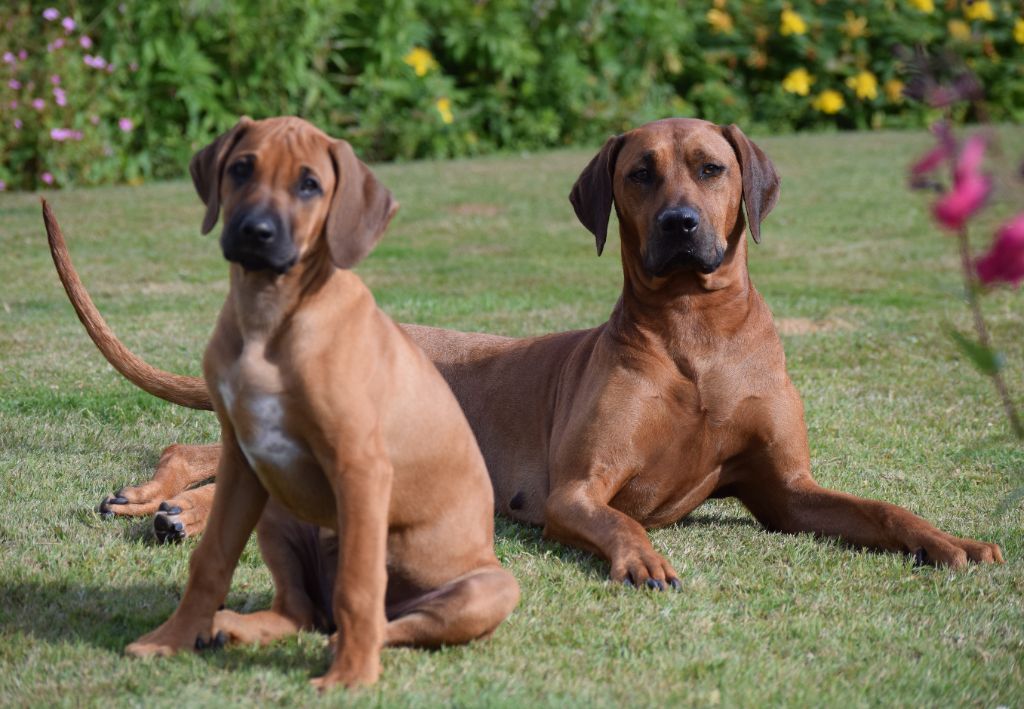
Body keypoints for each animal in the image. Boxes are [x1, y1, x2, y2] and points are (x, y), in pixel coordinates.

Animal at [43, 114, 516, 688]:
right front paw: (169, 639)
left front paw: (350, 677)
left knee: (376, 617)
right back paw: (221, 612)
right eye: (241, 169)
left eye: (310, 184)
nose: (256, 232)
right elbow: (212, 561)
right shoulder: (248, 451)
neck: (268, 320)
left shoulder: (361, 469)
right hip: (276, 500)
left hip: (486, 586)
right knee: (298, 608)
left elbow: (359, 584)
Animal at [48, 118, 999, 590]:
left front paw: (950, 540)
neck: (695, 333)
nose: (681, 225)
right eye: (639, 173)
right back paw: (167, 505)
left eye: (710, 168)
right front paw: (641, 557)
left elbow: (881, 508)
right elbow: (617, 517)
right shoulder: (574, 489)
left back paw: (165, 505)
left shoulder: (787, 491)